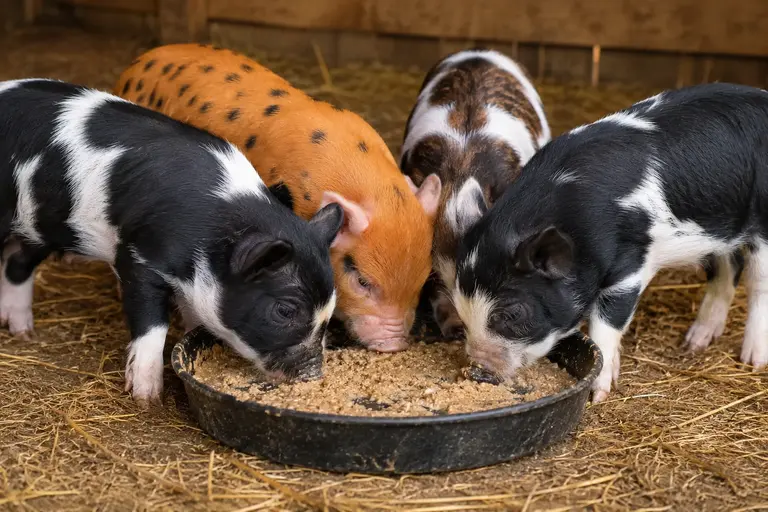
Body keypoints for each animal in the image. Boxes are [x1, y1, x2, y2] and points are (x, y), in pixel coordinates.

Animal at [0, 78, 343, 404]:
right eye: (285, 310)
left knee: (17, 266)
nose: (313, 374)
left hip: (37, 227)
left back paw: (24, 332)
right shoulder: (137, 256)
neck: (211, 230)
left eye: (330, 308)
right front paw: (147, 397)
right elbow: (153, 324)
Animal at [449, 82, 768, 402]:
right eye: (460, 305)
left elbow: (606, 324)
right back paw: (694, 342)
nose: (479, 371)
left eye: (513, 314)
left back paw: (752, 361)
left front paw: (597, 394)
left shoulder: (629, 267)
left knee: (758, 284)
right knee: (729, 266)